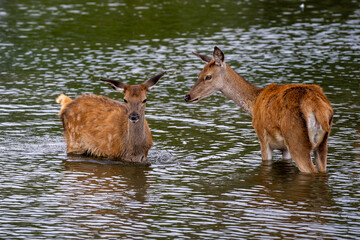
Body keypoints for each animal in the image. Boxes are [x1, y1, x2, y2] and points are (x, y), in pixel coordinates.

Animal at [184, 46, 334, 172]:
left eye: (208, 76)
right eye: (198, 75)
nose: (187, 96)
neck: (254, 103)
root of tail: (317, 106)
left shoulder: (262, 137)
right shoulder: (285, 149)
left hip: (296, 140)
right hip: (322, 144)